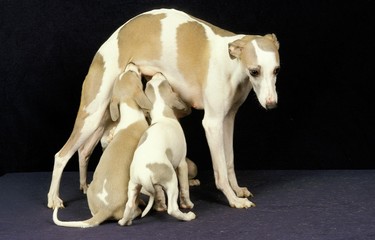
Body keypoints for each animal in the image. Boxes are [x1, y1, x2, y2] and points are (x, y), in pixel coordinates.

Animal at [53, 63, 153, 227]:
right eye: (132, 72)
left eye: (128, 71)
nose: (131, 64)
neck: (129, 112)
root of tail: (105, 209)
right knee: (131, 210)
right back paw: (137, 210)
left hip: (92, 190)